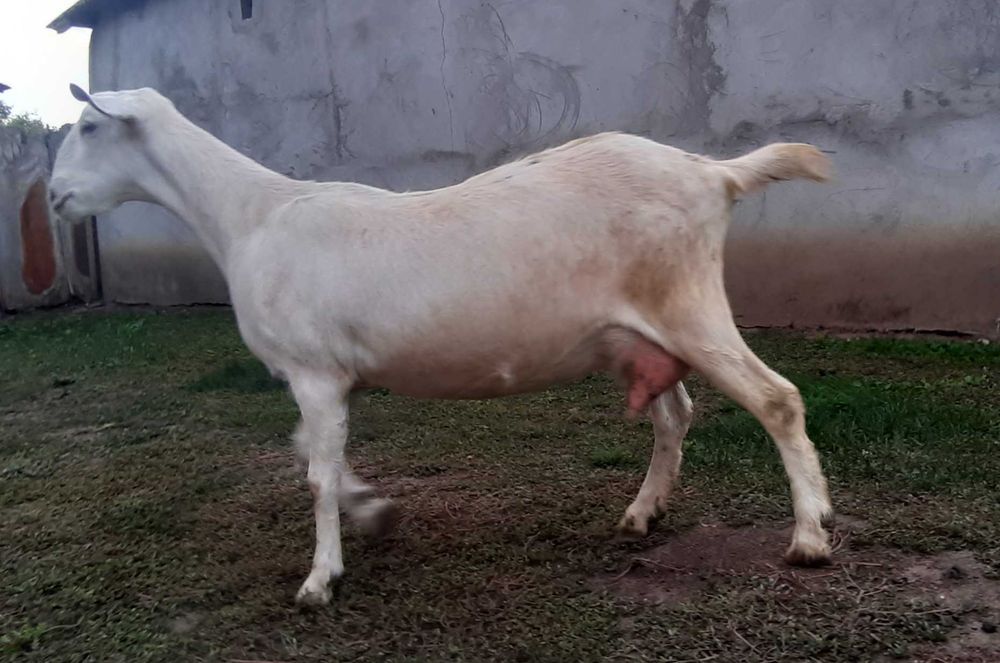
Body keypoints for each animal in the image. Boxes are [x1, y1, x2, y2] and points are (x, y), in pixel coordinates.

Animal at [51, 85, 834, 605]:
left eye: (88, 125)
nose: (55, 197)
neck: (252, 216)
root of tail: (713, 172)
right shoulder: (325, 377)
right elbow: (311, 455)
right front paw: (373, 512)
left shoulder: (312, 370)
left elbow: (314, 474)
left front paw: (319, 577)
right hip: (642, 333)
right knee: (675, 415)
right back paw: (644, 512)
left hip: (689, 305)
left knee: (778, 400)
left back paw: (811, 536)